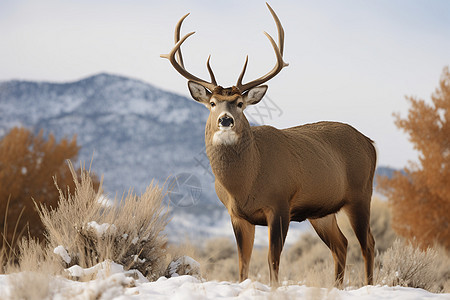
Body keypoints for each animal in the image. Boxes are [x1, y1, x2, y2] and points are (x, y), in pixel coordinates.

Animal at [161, 2, 376, 288]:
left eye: (240, 103)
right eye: (212, 103)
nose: (226, 119)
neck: (246, 181)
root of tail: (370, 142)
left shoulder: (280, 204)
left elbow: (273, 260)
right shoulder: (237, 215)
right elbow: (243, 265)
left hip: (361, 194)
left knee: (368, 244)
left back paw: (369, 285)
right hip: (322, 212)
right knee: (341, 245)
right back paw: (336, 287)